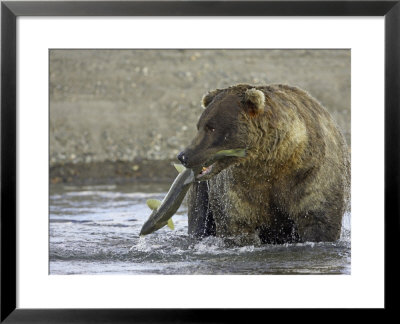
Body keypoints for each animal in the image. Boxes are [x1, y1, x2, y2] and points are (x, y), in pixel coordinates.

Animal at [178, 83, 350, 243]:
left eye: (211, 127)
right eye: (199, 126)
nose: (183, 155)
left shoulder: (310, 176)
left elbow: (319, 222)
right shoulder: (241, 186)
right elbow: (237, 224)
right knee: (199, 219)